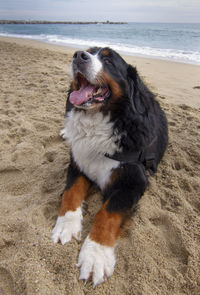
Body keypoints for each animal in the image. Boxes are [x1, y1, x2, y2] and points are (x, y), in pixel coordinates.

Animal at [51, 48, 167, 286]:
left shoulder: (133, 181)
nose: (78, 55)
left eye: (107, 59)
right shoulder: (78, 162)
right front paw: (66, 224)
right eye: (87, 51)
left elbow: (107, 213)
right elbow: (70, 193)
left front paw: (95, 256)